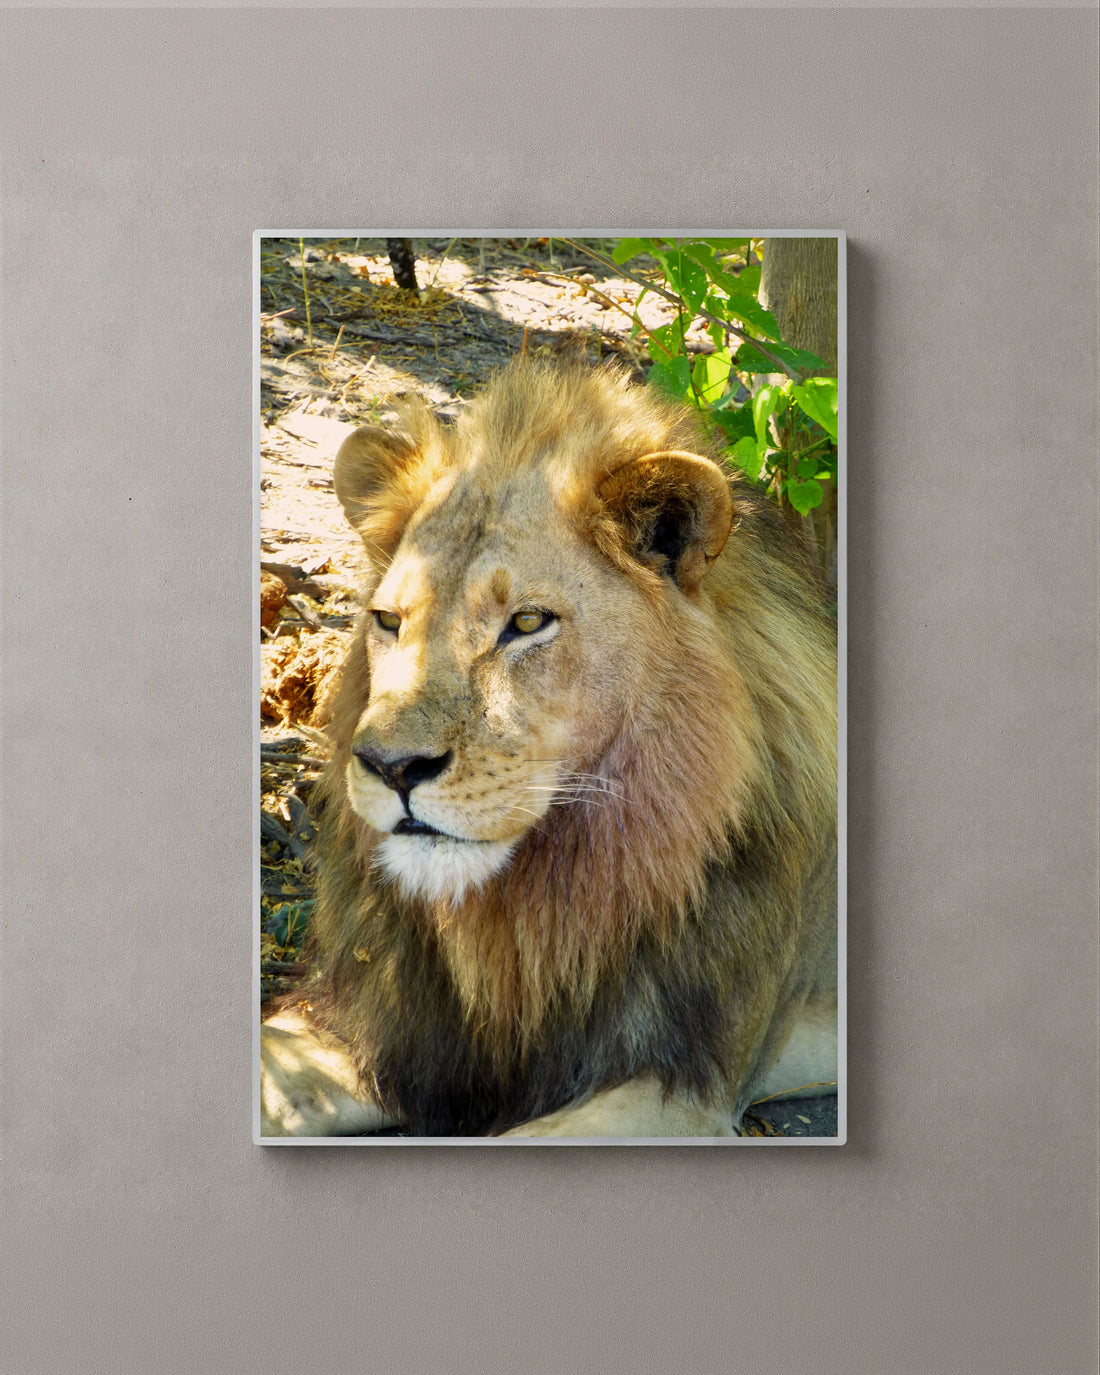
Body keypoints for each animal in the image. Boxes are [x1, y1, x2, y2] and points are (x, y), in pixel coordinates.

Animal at [260, 358, 838, 1139]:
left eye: (528, 622)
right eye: (389, 620)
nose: (391, 767)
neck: (534, 920)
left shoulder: (687, 1091)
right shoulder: (391, 1033)